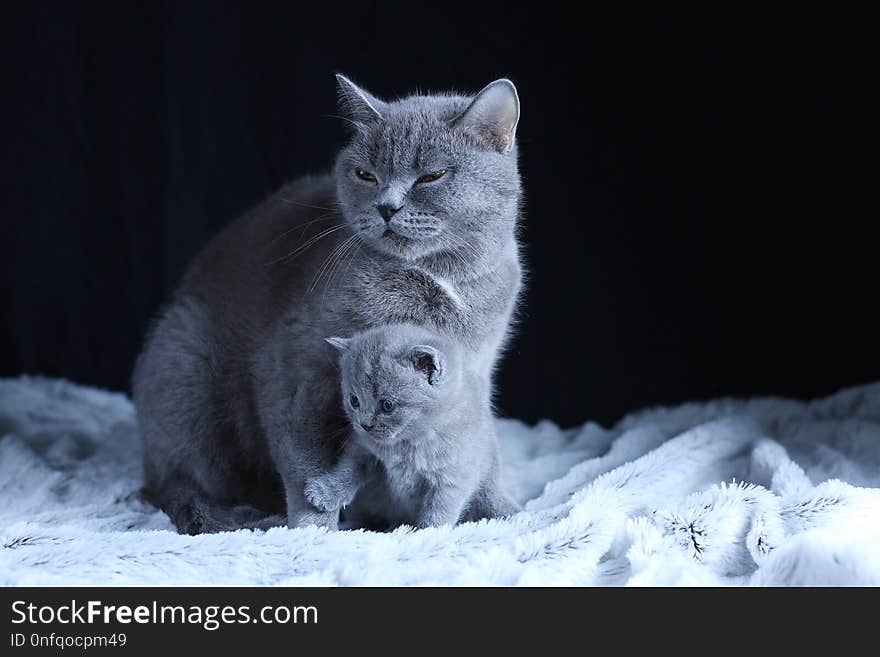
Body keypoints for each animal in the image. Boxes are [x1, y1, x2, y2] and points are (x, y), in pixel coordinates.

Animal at [304, 322, 520, 528]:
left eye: (388, 405)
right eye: (354, 400)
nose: (364, 424)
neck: (408, 444)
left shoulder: (452, 477)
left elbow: (438, 511)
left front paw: (424, 533)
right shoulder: (365, 451)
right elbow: (348, 471)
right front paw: (324, 492)